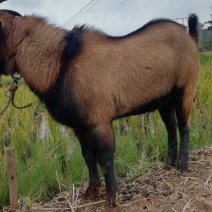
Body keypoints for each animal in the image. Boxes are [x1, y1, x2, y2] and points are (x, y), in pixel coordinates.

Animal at [0, 12, 199, 207]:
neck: (61, 63)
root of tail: (190, 36)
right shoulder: (81, 126)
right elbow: (88, 157)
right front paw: (91, 192)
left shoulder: (100, 121)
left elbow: (105, 159)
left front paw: (111, 198)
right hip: (164, 101)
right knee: (171, 128)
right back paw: (169, 162)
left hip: (185, 90)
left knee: (184, 127)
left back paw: (182, 165)